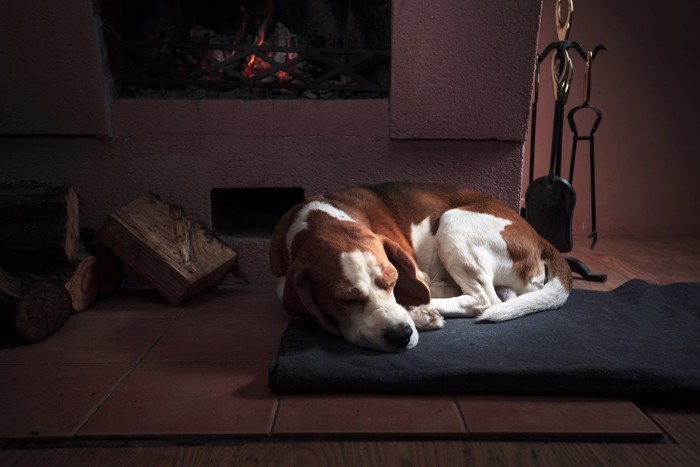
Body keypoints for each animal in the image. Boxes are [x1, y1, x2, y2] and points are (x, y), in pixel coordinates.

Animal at [270, 182, 572, 352]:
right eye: (347, 299)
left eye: (392, 282)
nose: (401, 336)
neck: (319, 218)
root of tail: (538, 237)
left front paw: (416, 313)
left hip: (453, 222)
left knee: (484, 300)